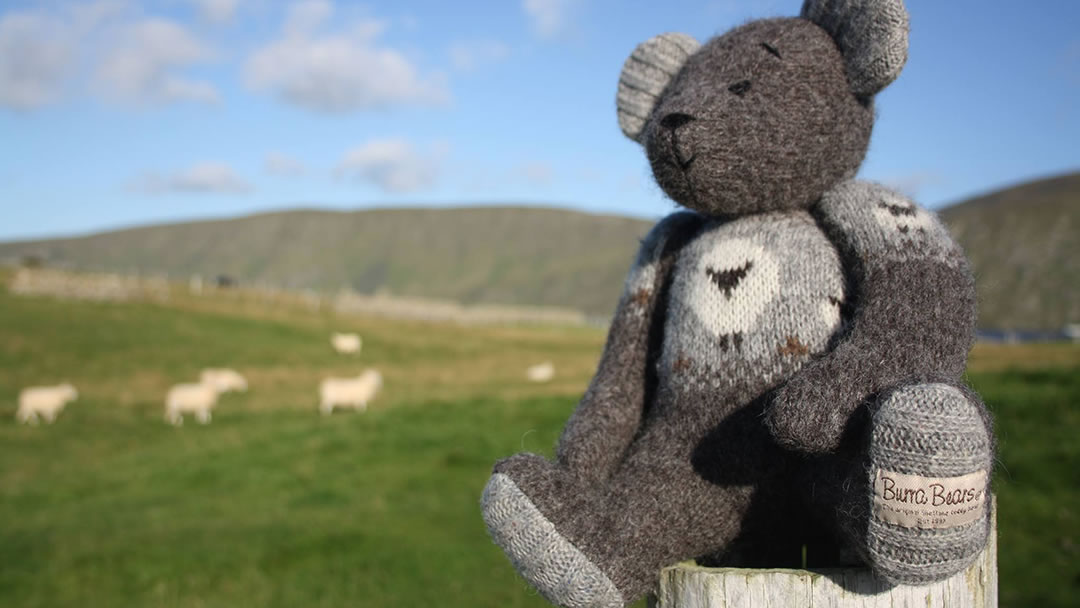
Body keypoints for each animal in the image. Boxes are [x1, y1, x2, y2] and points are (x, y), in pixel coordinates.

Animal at [481, 2, 993, 604]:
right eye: (675, 92)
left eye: (742, 85)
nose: (673, 121)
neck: (758, 211)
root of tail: (774, 537)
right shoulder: (660, 247)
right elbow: (623, 358)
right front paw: (579, 456)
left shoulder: (878, 209)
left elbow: (920, 298)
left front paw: (806, 409)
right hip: (683, 460)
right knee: (650, 509)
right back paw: (549, 534)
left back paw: (931, 449)